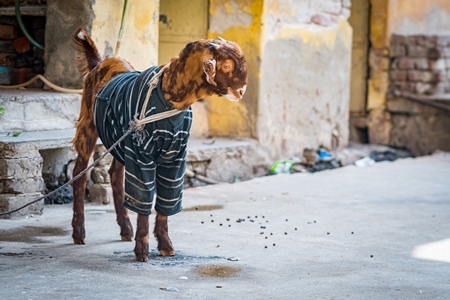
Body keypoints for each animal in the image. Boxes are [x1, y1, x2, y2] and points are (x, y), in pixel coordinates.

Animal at [71, 28, 248, 262]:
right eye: (226, 65)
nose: (241, 91)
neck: (170, 96)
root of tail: (99, 63)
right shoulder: (141, 153)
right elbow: (143, 196)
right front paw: (142, 250)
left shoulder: (175, 155)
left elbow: (167, 198)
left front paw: (165, 245)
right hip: (88, 125)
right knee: (79, 174)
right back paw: (78, 232)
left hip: (119, 137)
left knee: (115, 174)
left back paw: (125, 229)